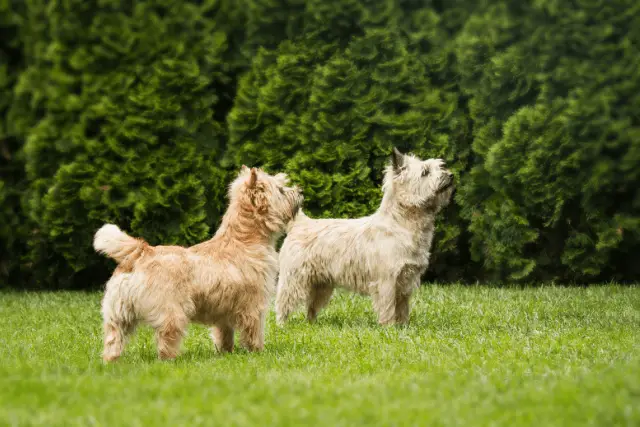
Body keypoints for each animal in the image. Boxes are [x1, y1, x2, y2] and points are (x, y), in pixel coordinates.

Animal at [94, 166, 304, 362]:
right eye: (281, 190)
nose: (300, 192)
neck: (244, 240)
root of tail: (141, 251)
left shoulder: (223, 312)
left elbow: (224, 335)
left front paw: (226, 352)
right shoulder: (253, 305)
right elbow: (254, 331)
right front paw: (258, 351)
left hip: (117, 314)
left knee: (113, 339)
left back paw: (111, 361)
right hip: (172, 313)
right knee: (166, 339)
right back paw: (171, 360)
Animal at [276, 149, 456, 326]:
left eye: (440, 166)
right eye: (425, 172)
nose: (451, 175)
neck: (402, 222)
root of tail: (300, 223)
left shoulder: (405, 280)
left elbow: (403, 308)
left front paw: (403, 327)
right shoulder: (387, 280)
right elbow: (389, 307)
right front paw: (389, 327)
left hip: (321, 284)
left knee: (311, 307)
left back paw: (312, 324)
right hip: (295, 279)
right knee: (283, 302)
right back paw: (282, 326)